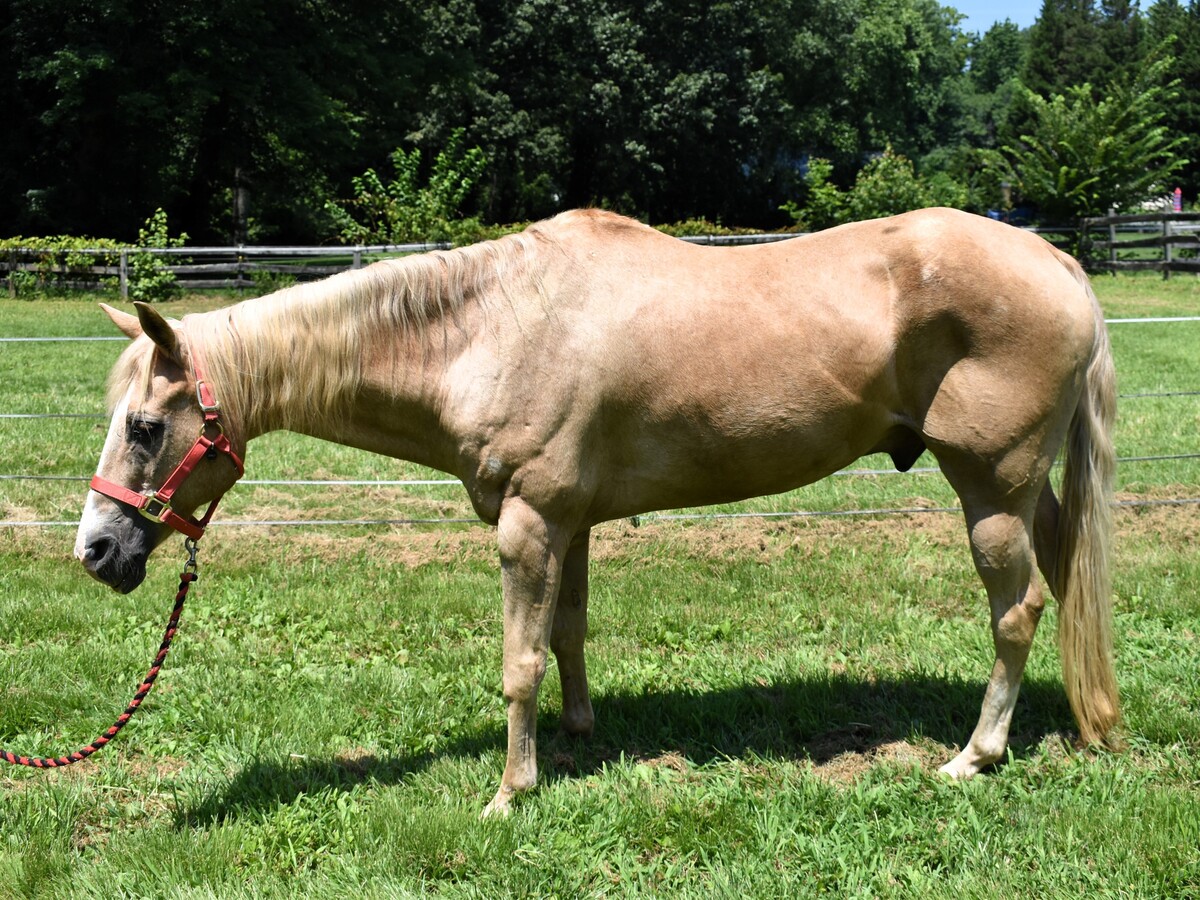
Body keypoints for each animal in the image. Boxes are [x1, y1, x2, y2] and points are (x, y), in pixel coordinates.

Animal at [74, 207, 1119, 816]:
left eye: (143, 427)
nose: (97, 549)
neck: (489, 327)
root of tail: (1058, 262)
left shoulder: (528, 523)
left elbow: (520, 663)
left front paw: (510, 791)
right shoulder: (567, 520)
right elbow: (569, 635)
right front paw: (577, 737)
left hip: (989, 489)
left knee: (1019, 611)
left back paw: (974, 756)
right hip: (1025, 492)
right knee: (1065, 577)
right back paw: (1081, 720)